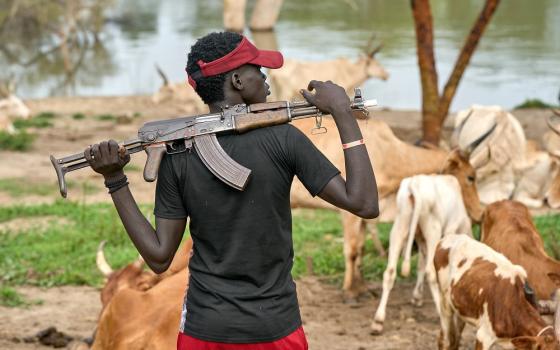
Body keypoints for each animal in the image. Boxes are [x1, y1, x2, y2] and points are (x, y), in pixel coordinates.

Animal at [370, 150, 484, 334]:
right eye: (471, 177)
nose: (479, 212)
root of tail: (414, 185)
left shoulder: (420, 238)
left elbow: (420, 265)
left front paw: (417, 297)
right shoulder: (450, 230)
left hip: (400, 227)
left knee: (390, 271)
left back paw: (378, 320)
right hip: (433, 230)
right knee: (431, 272)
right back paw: (440, 313)